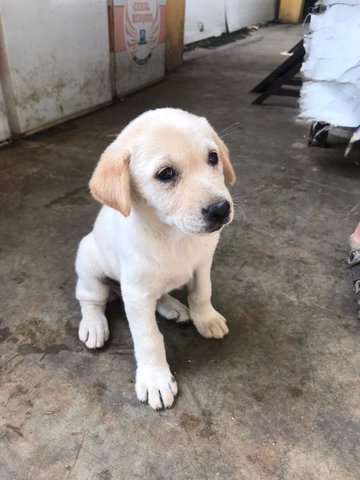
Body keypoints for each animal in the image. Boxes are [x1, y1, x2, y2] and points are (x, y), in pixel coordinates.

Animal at [74, 108, 235, 408]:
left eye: (213, 157)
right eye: (166, 174)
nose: (221, 210)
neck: (174, 236)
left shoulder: (202, 264)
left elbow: (201, 293)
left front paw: (206, 318)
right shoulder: (136, 293)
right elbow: (148, 337)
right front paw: (155, 379)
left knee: (160, 294)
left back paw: (172, 306)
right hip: (89, 262)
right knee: (90, 300)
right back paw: (94, 325)